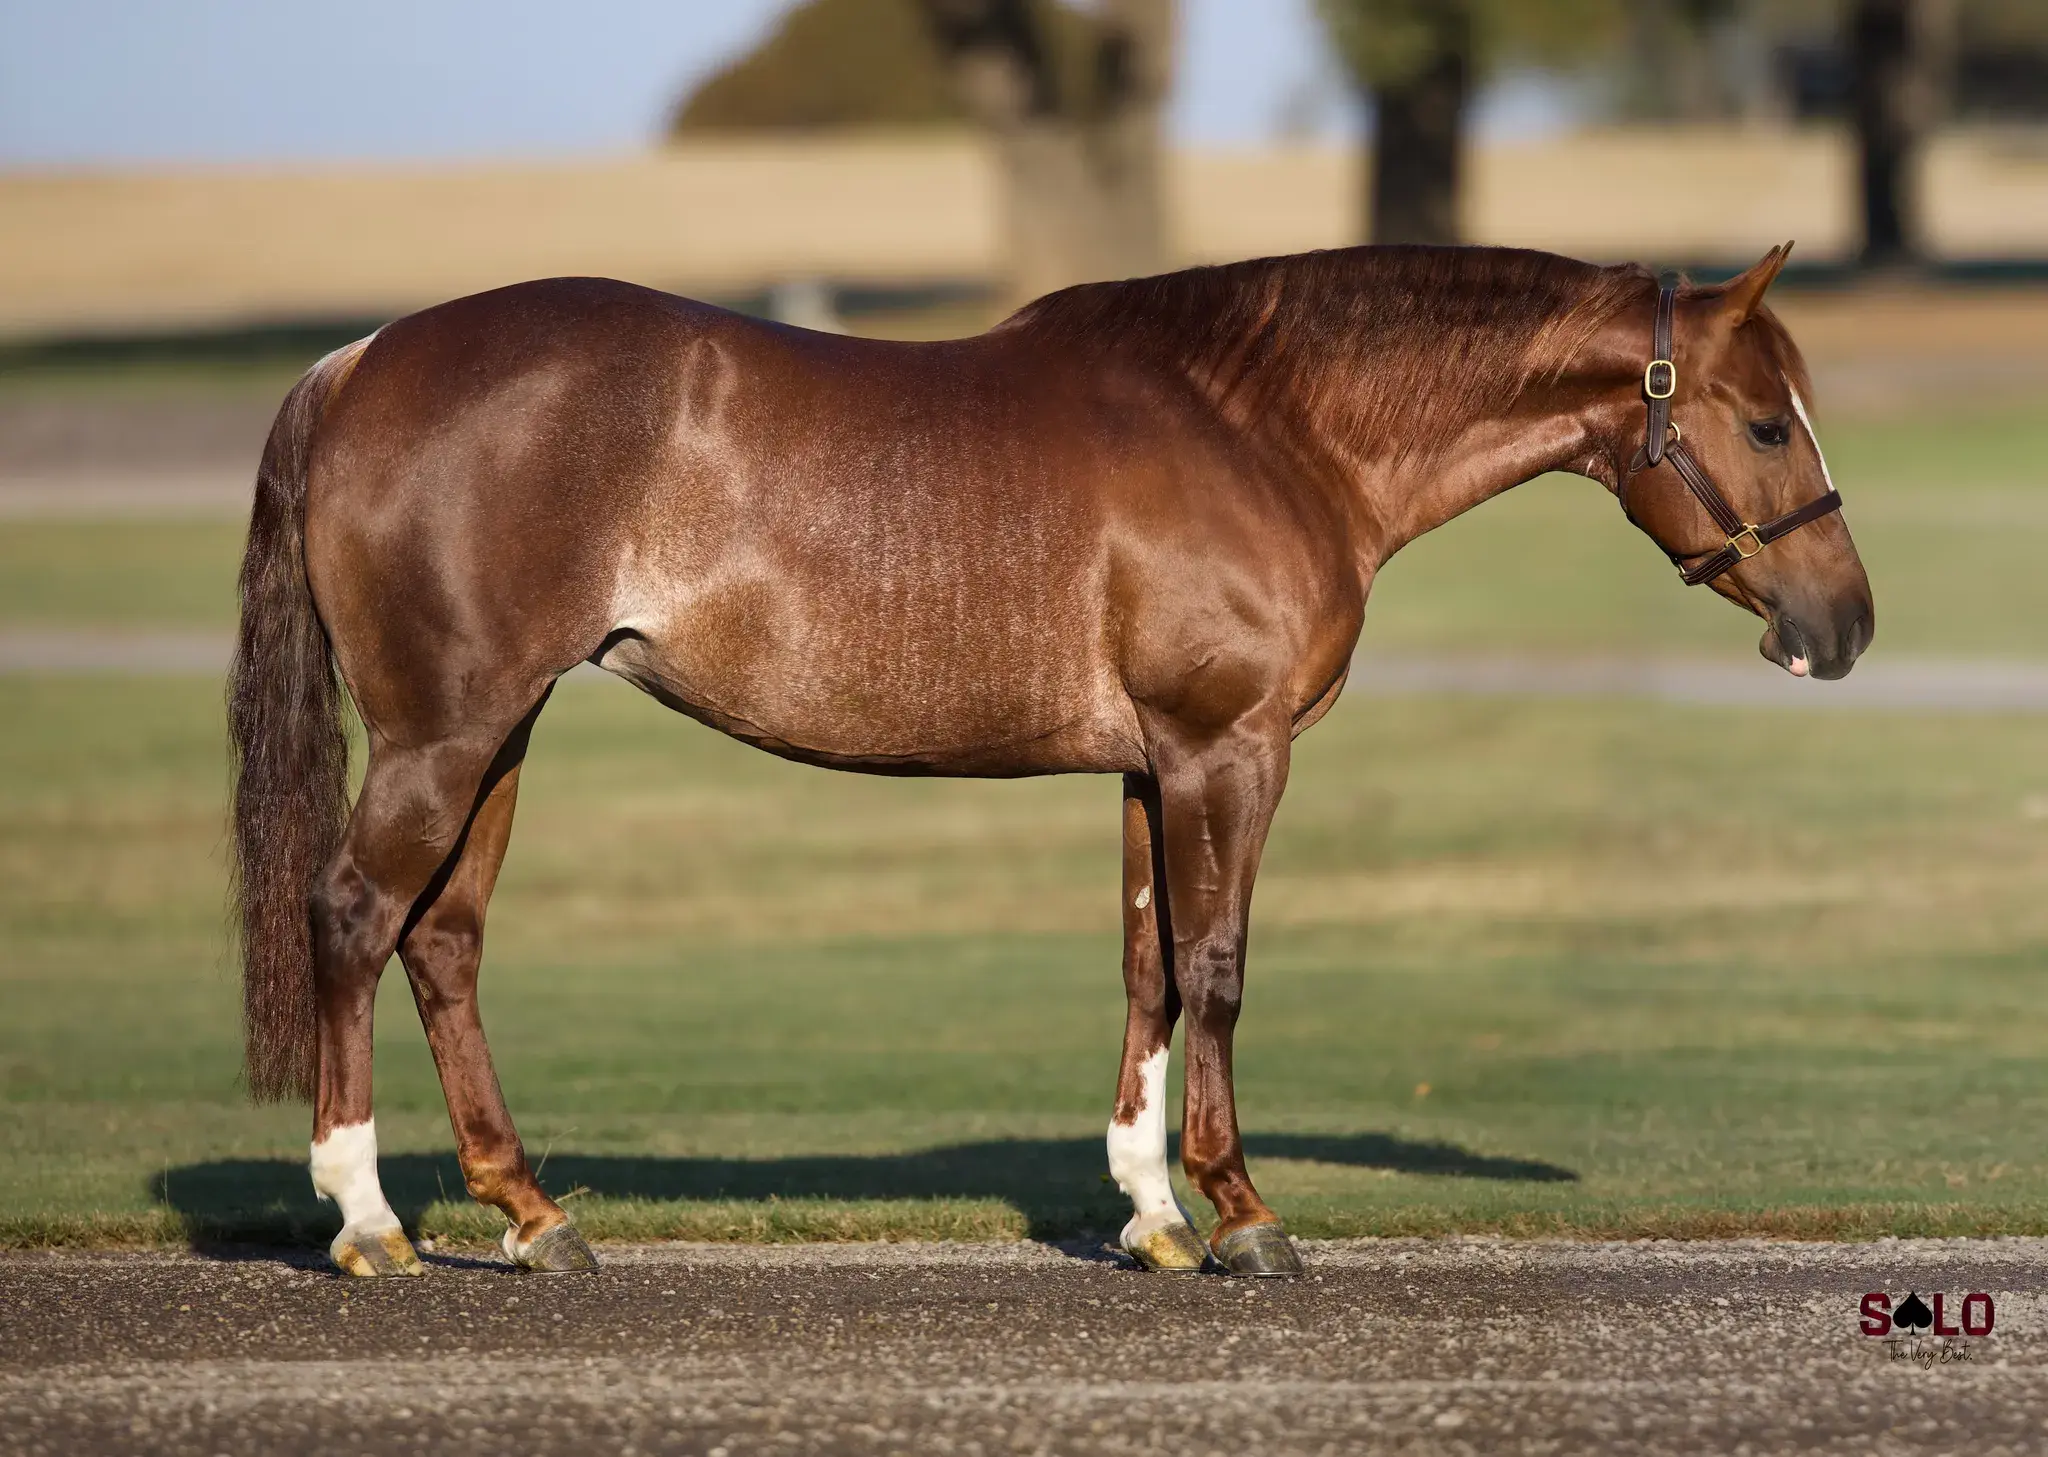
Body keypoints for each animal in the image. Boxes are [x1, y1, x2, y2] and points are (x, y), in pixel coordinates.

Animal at [228, 241, 1871, 1279]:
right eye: (1764, 422)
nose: (1845, 624)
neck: (1266, 424)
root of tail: (356, 363)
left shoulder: (1153, 767)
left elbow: (1148, 970)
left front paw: (1151, 1213)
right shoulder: (1227, 754)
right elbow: (1218, 967)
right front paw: (1244, 1212)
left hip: (500, 733)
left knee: (444, 942)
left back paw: (532, 1215)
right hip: (447, 733)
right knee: (354, 918)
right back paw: (367, 1220)